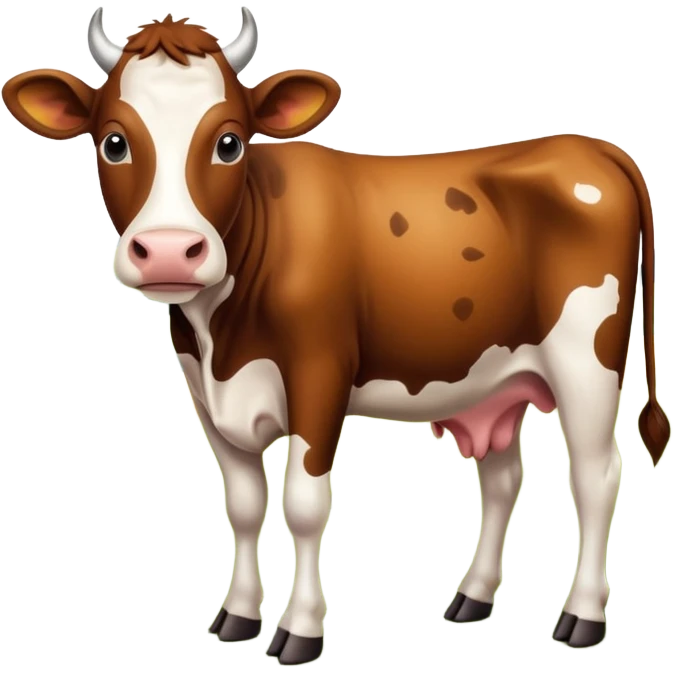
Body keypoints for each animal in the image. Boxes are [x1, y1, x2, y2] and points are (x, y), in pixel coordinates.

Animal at [2, 6, 670, 665]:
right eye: (113, 141)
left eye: (229, 142)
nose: (169, 251)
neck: (223, 335)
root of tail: (593, 147)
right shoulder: (207, 393)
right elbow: (244, 506)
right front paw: (238, 616)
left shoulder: (319, 375)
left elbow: (301, 504)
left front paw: (299, 629)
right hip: (493, 380)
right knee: (505, 479)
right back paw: (472, 597)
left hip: (587, 363)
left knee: (595, 477)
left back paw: (580, 617)